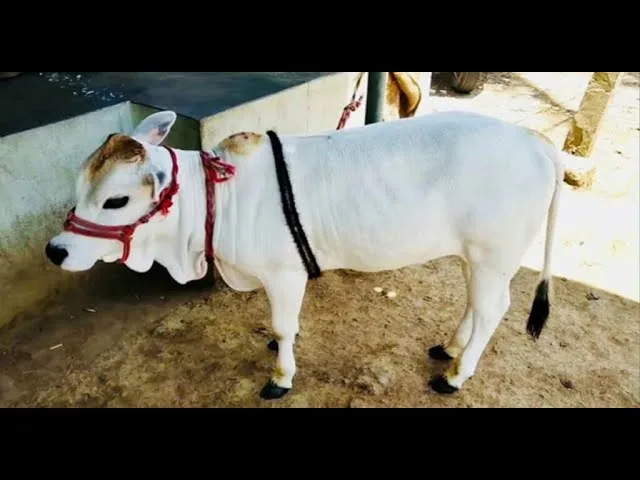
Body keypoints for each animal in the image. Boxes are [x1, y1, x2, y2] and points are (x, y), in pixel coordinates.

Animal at [45, 108, 564, 400]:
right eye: (79, 187)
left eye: (116, 201)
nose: (55, 250)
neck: (219, 196)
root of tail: (533, 140)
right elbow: (283, 326)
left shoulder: (285, 274)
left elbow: (281, 326)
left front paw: (281, 375)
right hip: (473, 255)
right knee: (474, 303)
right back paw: (450, 348)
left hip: (494, 254)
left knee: (493, 308)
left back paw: (455, 376)